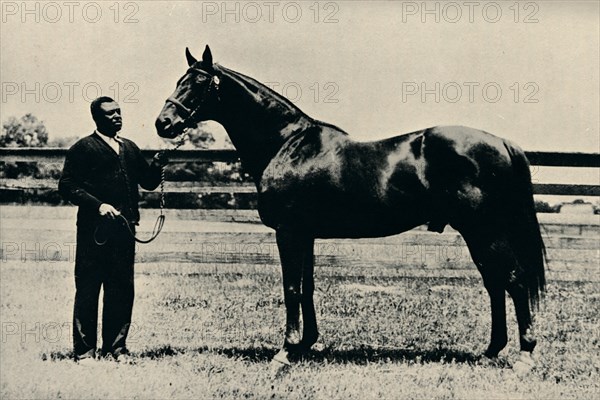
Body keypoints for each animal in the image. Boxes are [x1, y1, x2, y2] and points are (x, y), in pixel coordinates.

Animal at [154, 45, 544, 368]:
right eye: (178, 80)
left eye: (198, 83)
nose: (163, 123)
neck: (287, 145)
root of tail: (501, 142)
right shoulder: (306, 234)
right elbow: (307, 286)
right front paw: (307, 344)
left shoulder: (288, 232)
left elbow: (291, 289)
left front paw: (285, 351)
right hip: (477, 232)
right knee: (495, 282)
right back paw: (492, 350)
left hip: (485, 229)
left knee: (513, 279)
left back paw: (524, 354)